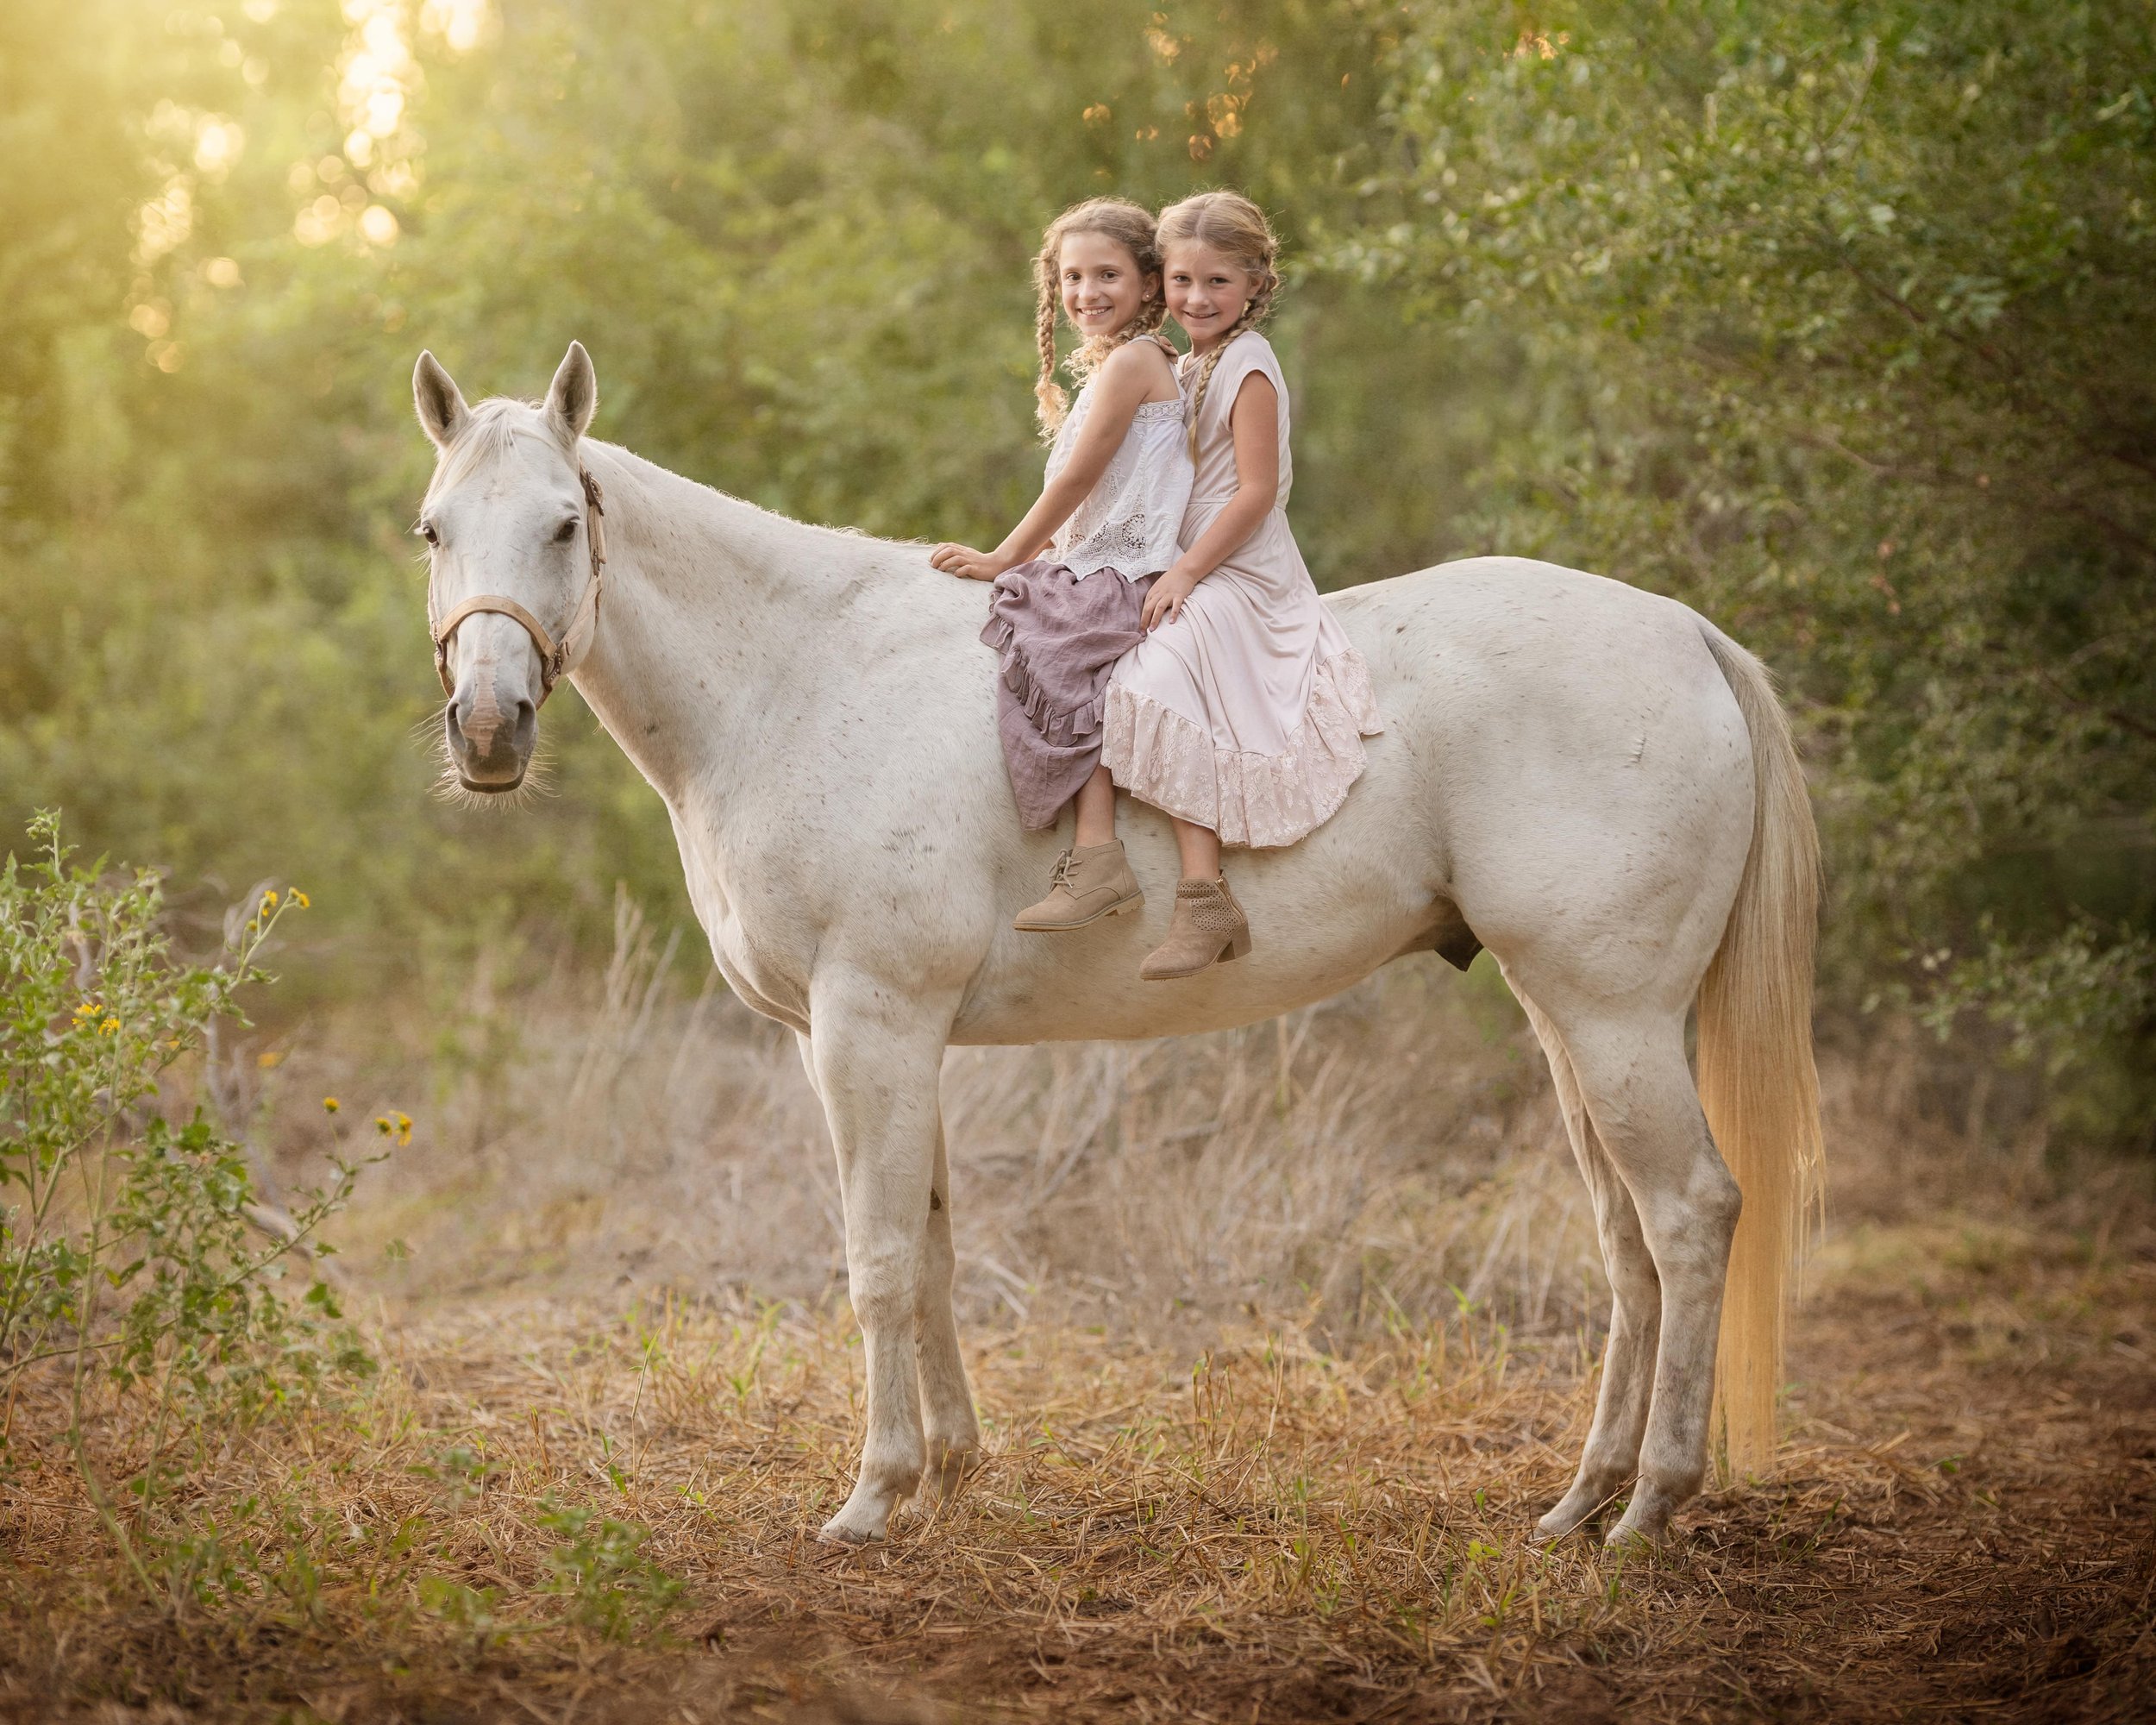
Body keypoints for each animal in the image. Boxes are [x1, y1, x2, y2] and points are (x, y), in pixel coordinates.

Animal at [407, 341, 1820, 1552]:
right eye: (434, 530)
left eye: (565, 524)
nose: (486, 728)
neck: (798, 677)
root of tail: (1685, 632)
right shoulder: (881, 1039)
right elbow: (932, 1252)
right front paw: (950, 1475)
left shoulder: (870, 1025)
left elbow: (879, 1261)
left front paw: (871, 1496)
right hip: (1567, 1017)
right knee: (1628, 1241)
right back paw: (1581, 1501)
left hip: (1612, 1016)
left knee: (1690, 1216)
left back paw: (1651, 1505)